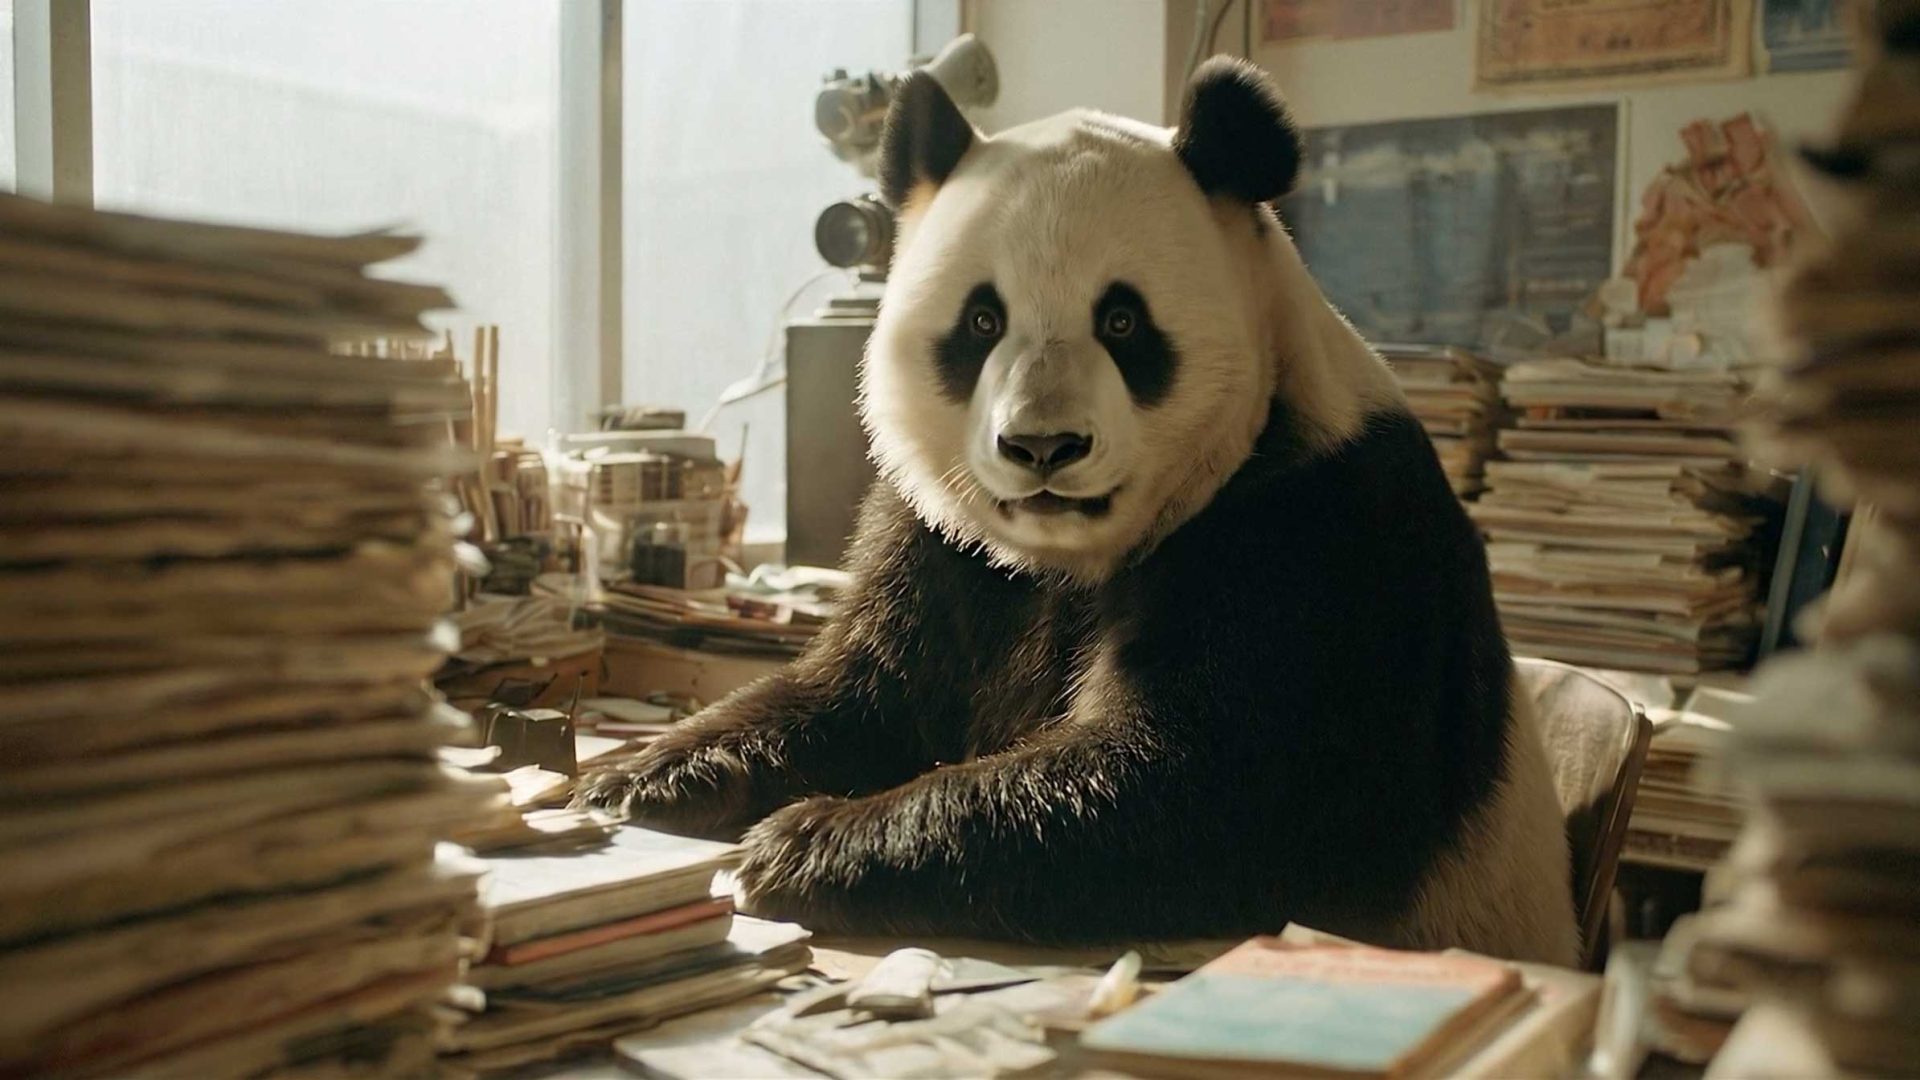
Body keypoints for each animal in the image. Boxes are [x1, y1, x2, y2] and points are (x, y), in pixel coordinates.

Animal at [580, 57, 1579, 965]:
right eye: (982, 321)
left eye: (1123, 323)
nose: (1042, 448)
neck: (1072, 554)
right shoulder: (946, 549)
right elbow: (867, 694)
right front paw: (638, 773)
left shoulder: (1321, 533)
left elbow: (1206, 788)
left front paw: (805, 842)